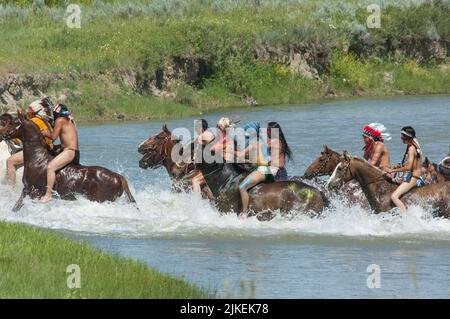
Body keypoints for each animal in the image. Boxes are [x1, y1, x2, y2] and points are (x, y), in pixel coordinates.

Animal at [0, 114, 136, 212]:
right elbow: (17, 205)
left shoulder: (35, 192)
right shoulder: (27, 189)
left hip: (99, 200)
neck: (36, 158)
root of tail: (118, 176)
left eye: (13, 123)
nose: (2, 134)